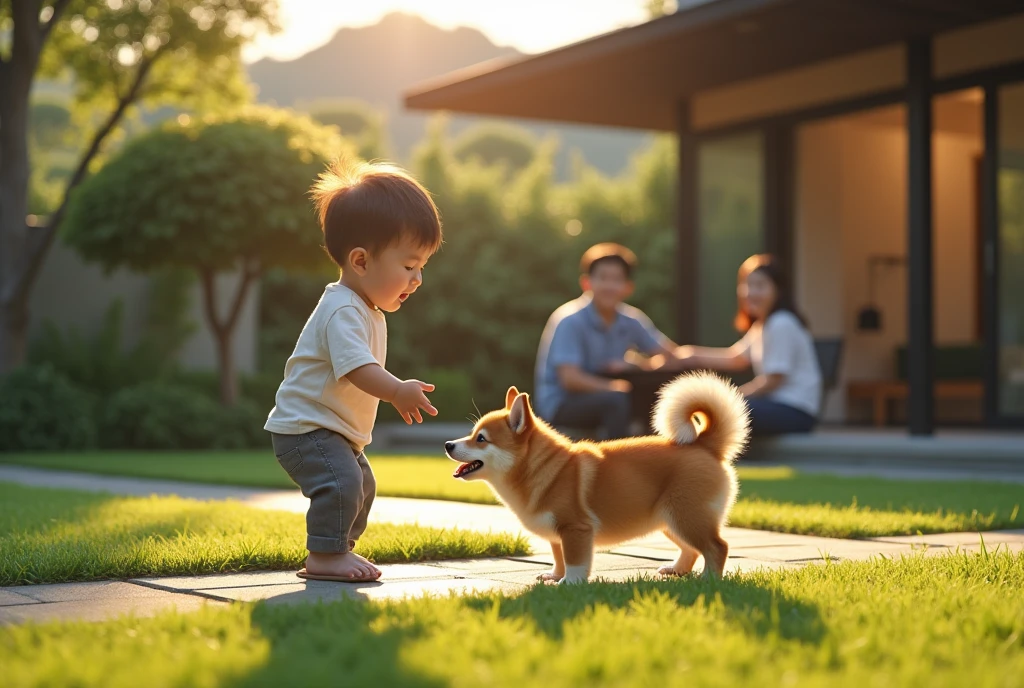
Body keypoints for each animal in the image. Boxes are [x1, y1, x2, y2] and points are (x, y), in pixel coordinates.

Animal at [444, 372, 749, 581]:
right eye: (472, 434)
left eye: (481, 439)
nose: (448, 445)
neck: (542, 469)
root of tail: (705, 444)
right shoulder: (557, 535)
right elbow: (558, 557)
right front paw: (554, 577)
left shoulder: (576, 529)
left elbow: (576, 563)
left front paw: (569, 584)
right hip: (670, 521)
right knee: (693, 550)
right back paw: (676, 570)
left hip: (686, 517)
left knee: (717, 547)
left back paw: (708, 579)